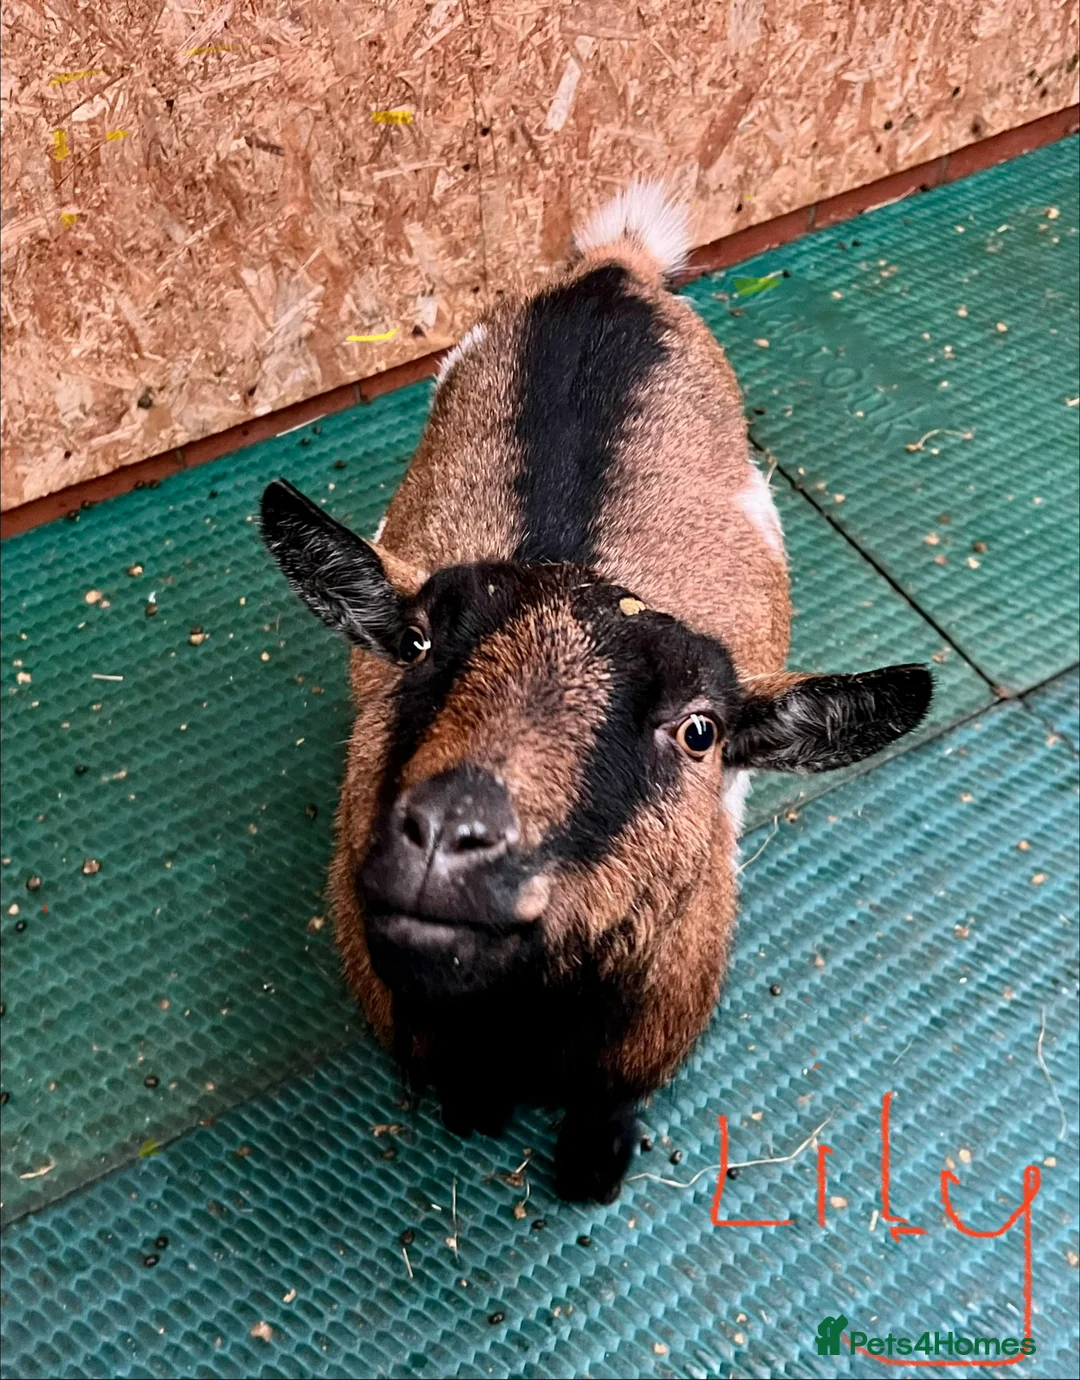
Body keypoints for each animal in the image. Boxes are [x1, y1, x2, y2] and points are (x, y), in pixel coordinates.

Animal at [261, 183, 932, 1203]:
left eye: (699, 731)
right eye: (415, 644)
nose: (448, 839)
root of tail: (616, 271)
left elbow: (605, 1115)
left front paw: (589, 1173)